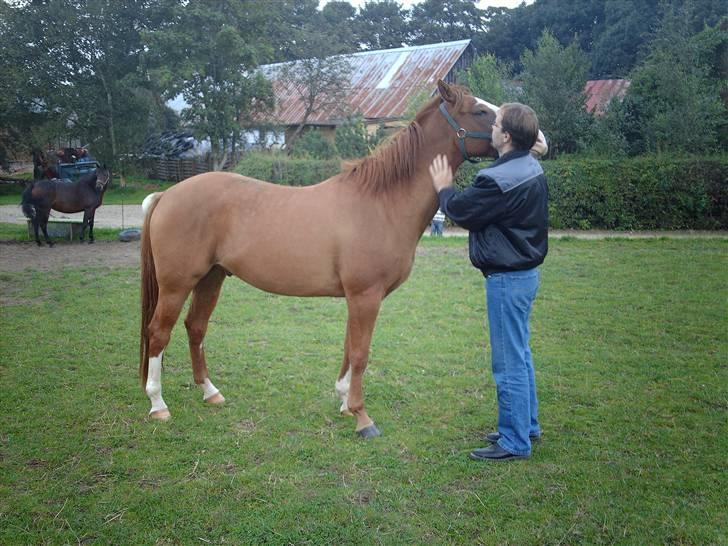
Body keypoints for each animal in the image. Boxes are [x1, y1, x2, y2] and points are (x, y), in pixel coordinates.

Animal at [139, 81, 544, 436]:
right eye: (479, 110)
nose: (538, 139)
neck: (380, 202)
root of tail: (167, 195)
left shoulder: (358, 297)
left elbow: (350, 347)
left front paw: (345, 402)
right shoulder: (365, 296)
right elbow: (361, 352)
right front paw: (363, 418)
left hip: (212, 277)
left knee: (195, 328)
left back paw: (210, 392)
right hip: (177, 284)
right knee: (158, 332)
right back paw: (158, 405)